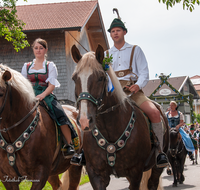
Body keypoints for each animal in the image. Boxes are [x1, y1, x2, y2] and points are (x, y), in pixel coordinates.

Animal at [71, 44, 170, 190]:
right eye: (74, 78)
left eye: (101, 77)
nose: (84, 120)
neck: (110, 127)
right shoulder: (96, 174)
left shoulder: (135, 173)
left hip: (157, 167)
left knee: (153, 182)